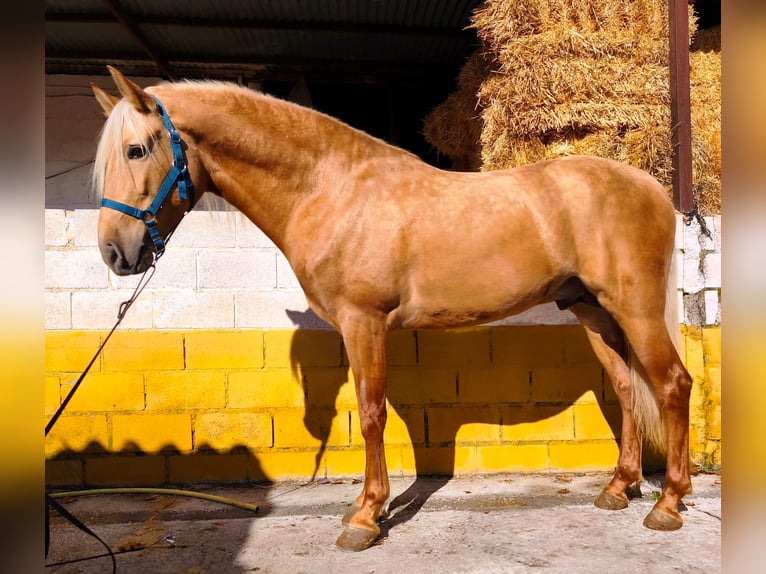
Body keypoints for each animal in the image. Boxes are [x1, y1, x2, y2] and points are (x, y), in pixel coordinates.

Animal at [91, 66, 692, 552]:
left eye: (136, 150)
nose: (116, 252)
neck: (330, 188)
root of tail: (652, 188)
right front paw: (367, 510)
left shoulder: (365, 322)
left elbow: (371, 413)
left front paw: (365, 518)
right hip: (593, 311)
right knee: (626, 387)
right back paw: (618, 488)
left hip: (634, 309)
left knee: (672, 384)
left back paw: (668, 504)